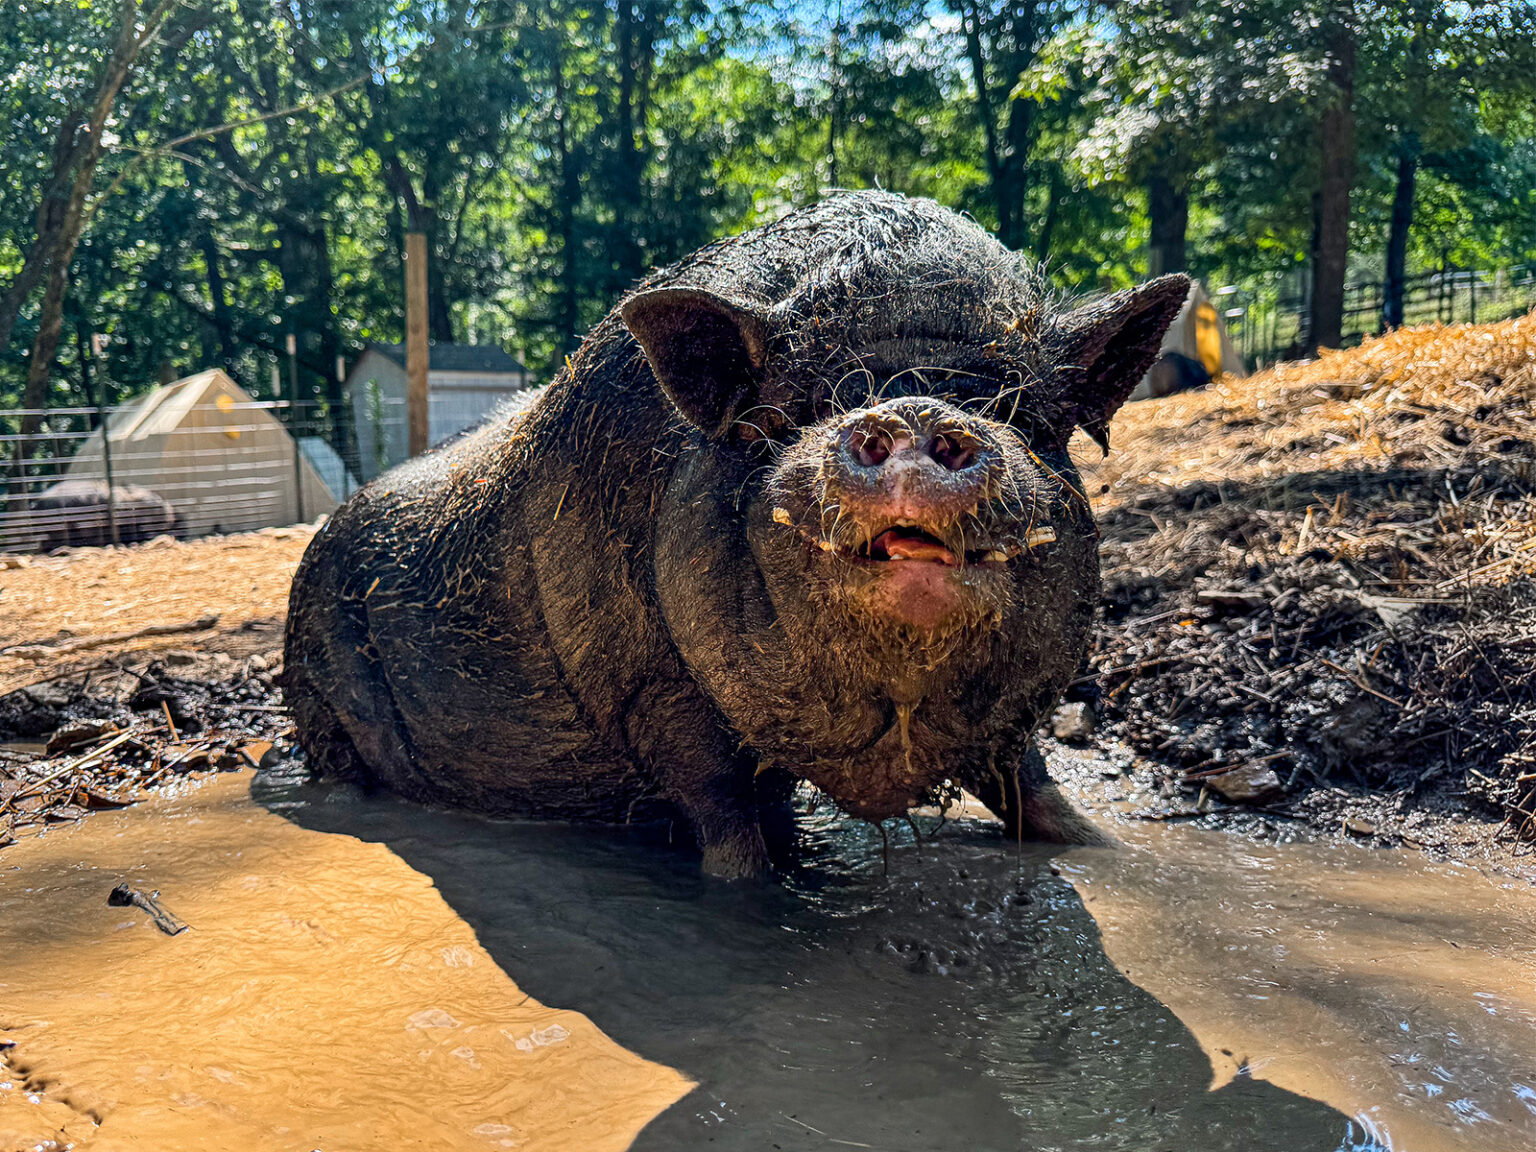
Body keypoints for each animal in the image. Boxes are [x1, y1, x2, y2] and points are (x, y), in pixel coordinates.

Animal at [285, 192, 1185, 872]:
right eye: (796, 411)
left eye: (1024, 415)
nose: (915, 413)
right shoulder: (650, 692)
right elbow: (728, 836)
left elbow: (1039, 795)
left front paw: (1114, 859)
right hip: (317, 687)